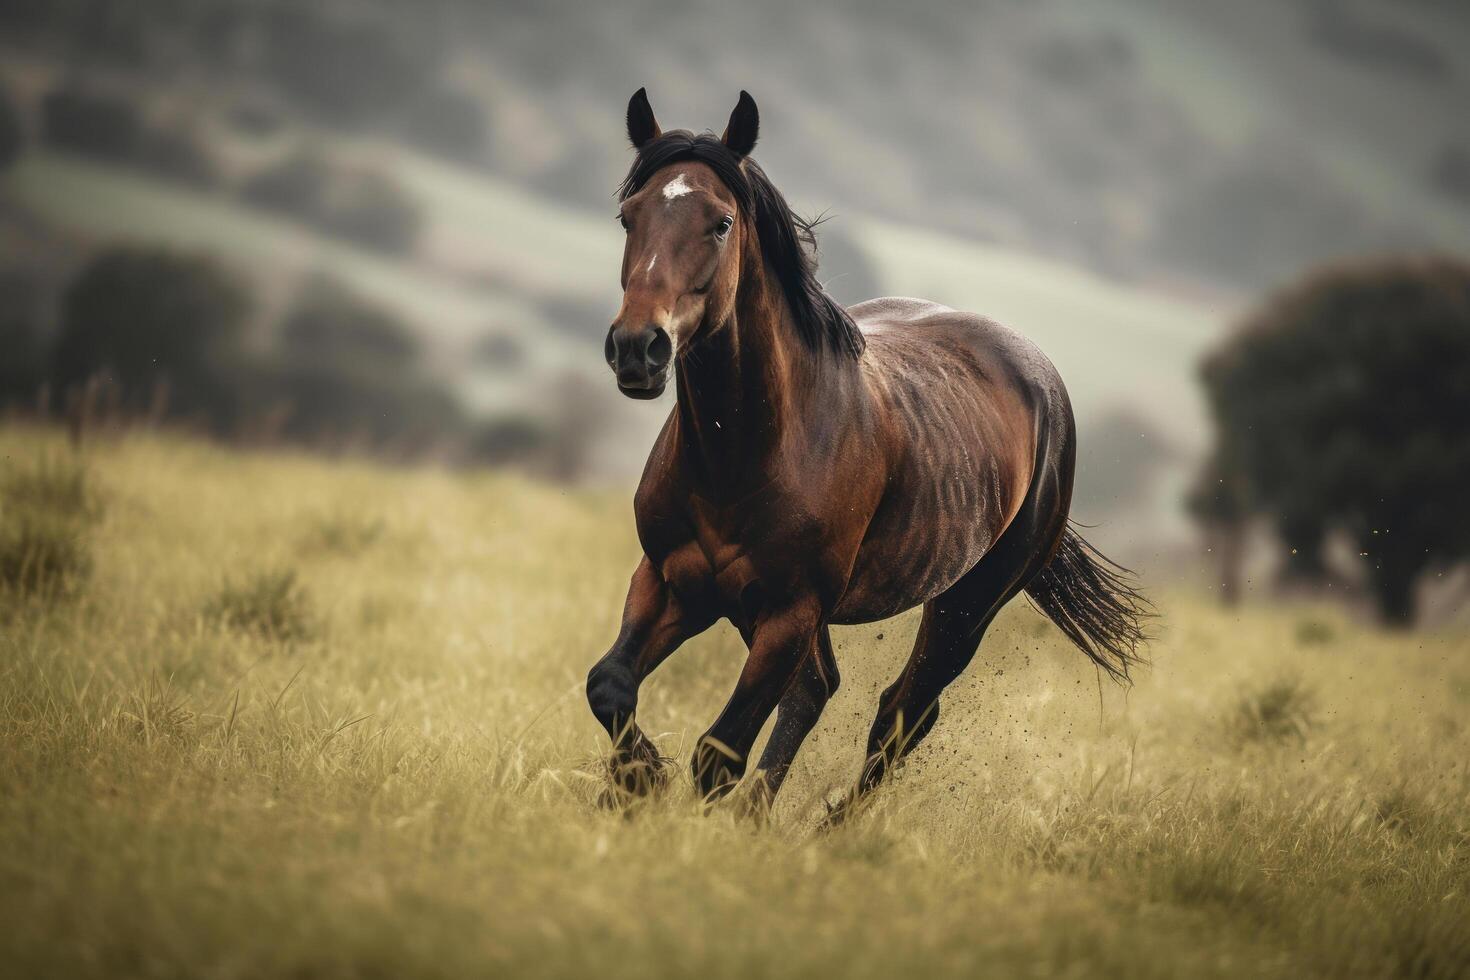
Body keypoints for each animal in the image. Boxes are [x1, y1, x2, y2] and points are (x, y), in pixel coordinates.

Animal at [585, 88, 1146, 816]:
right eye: (629, 217)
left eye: (721, 223)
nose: (637, 349)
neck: (747, 452)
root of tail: (1043, 382)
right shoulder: (670, 580)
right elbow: (609, 684)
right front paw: (637, 780)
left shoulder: (790, 610)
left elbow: (717, 752)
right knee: (821, 690)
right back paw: (761, 815)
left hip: (968, 605)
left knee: (903, 713)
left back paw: (829, 825)